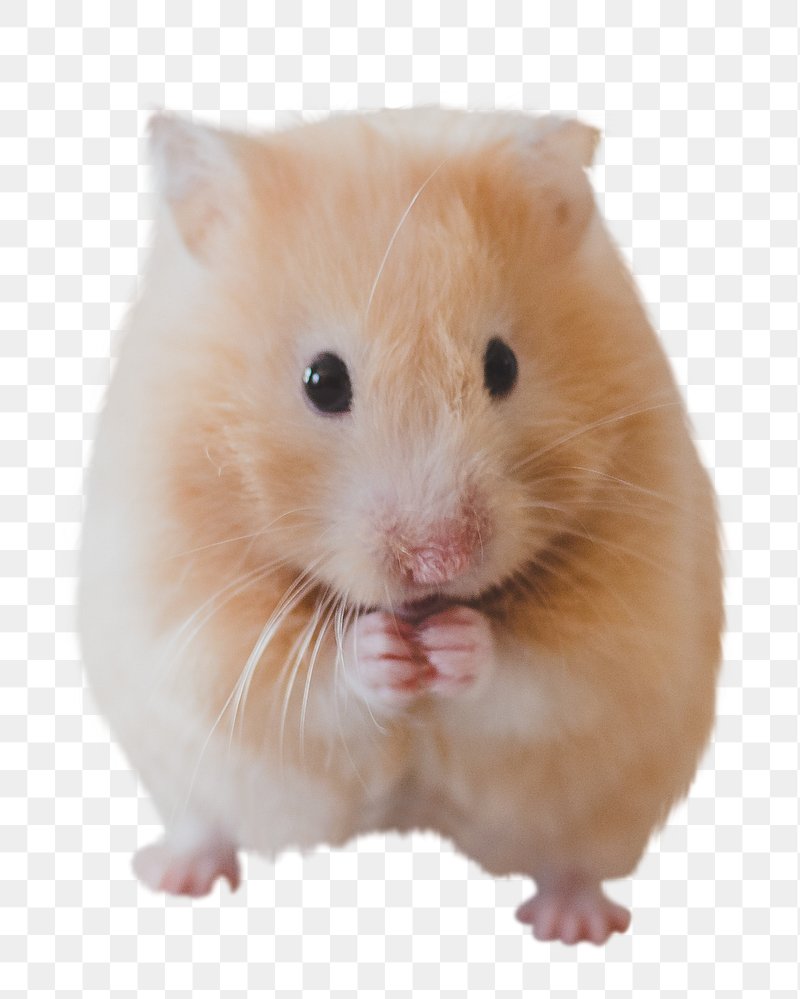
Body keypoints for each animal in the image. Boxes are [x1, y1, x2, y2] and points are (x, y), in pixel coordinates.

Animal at [79, 108, 723, 944]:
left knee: (573, 861)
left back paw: (574, 923)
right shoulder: (192, 617)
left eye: (504, 365)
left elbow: (540, 673)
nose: (440, 557)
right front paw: (383, 650)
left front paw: (453, 643)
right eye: (322, 380)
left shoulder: (627, 627)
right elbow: (303, 679)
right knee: (203, 821)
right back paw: (174, 874)